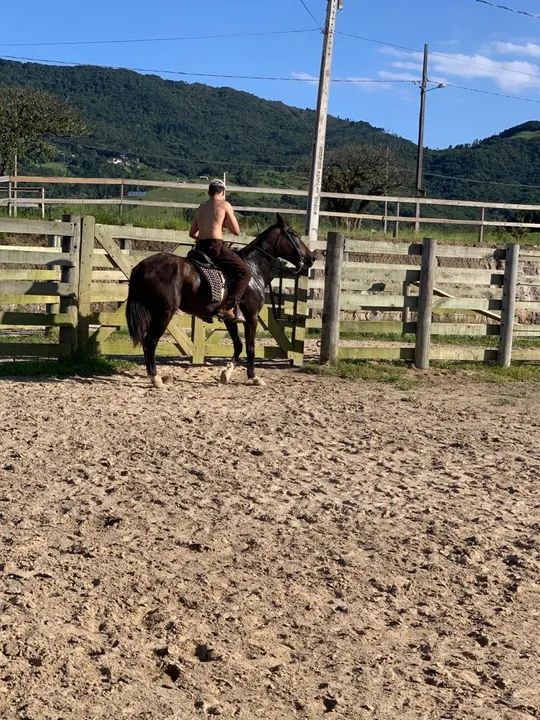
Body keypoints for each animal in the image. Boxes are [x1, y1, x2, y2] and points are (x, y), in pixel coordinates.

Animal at [126, 213, 314, 388]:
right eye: (294, 234)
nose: (311, 258)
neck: (254, 269)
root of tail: (142, 266)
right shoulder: (251, 317)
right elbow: (251, 348)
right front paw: (253, 377)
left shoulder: (230, 319)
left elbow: (238, 345)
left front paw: (226, 373)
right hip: (164, 313)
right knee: (150, 342)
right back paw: (156, 379)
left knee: (147, 342)